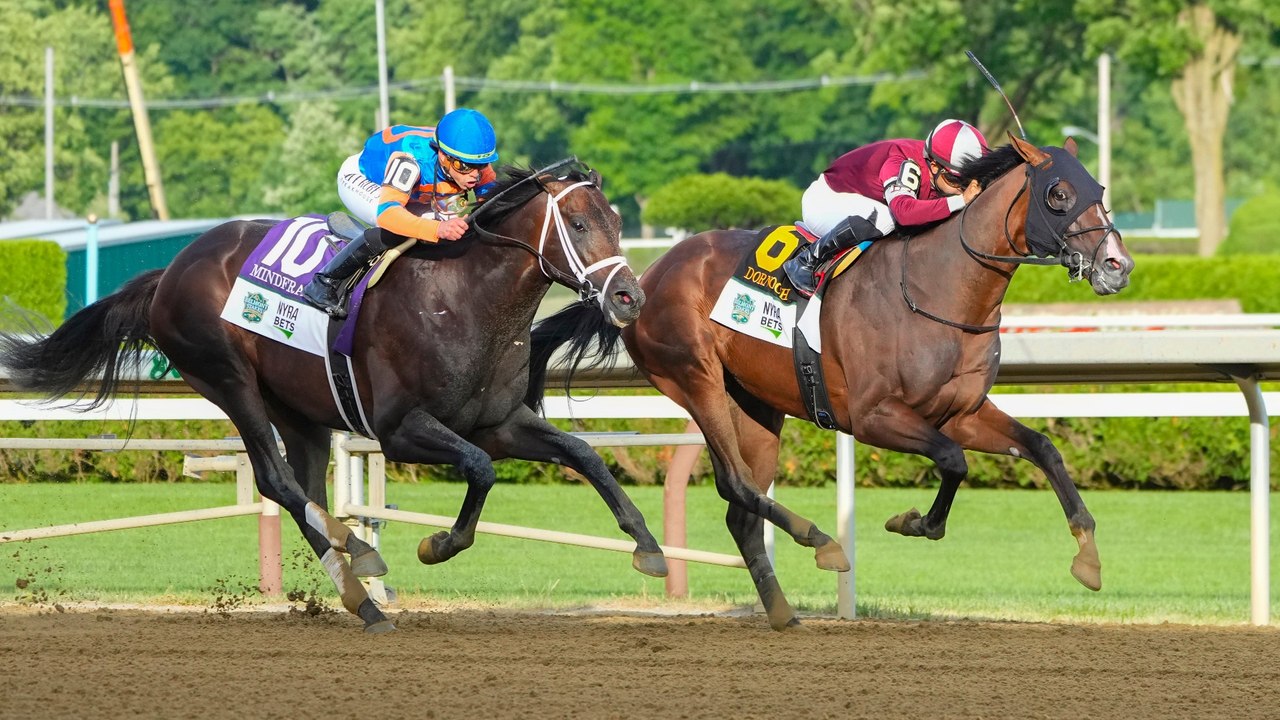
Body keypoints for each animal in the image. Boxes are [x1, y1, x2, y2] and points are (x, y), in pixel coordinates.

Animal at [0, 158, 668, 633]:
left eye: (616, 223)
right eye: (578, 224)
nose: (629, 298)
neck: (465, 299)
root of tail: (170, 271)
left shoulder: (496, 421)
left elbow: (581, 454)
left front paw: (649, 547)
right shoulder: (400, 429)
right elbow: (480, 469)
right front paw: (437, 544)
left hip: (300, 412)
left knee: (305, 486)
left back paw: (361, 596)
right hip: (228, 380)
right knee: (277, 481)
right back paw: (359, 555)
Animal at [527, 135, 1134, 630]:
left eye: (1099, 188)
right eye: (1058, 194)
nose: (1117, 265)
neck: (939, 288)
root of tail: (643, 277)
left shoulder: (961, 412)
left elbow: (1042, 447)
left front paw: (1088, 556)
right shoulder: (873, 417)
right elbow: (953, 460)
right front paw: (913, 521)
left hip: (758, 406)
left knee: (741, 510)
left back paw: (781, 611)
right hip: (695, 379)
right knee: (737, 484)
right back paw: (822, 543)